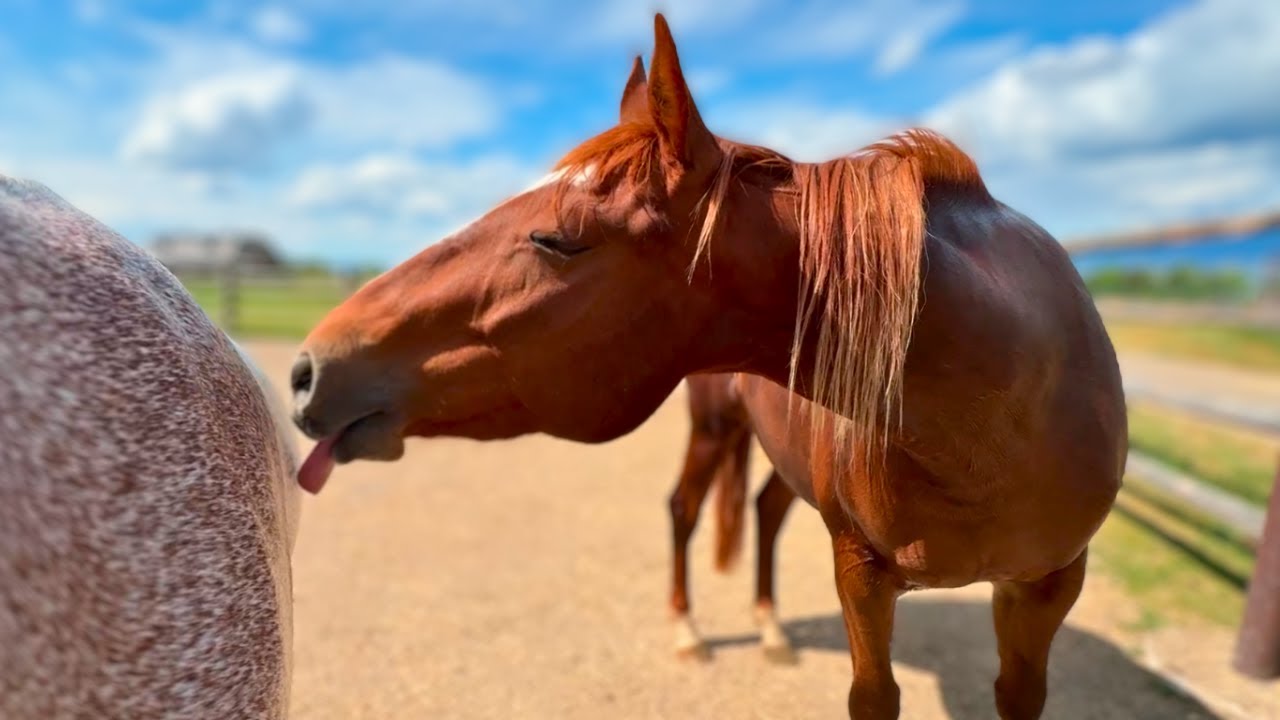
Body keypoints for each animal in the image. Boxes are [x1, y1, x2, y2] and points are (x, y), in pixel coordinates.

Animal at [290, 15, 1126, 719]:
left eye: (558, 239)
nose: (307, 369)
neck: (996, 415)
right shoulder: (862, 574)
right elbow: (873, 696)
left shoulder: (1047, 585)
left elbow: (1016, 695)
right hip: (713, 429)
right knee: (686, 511)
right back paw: (690, 631)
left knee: (761, 510)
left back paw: (771, 628)